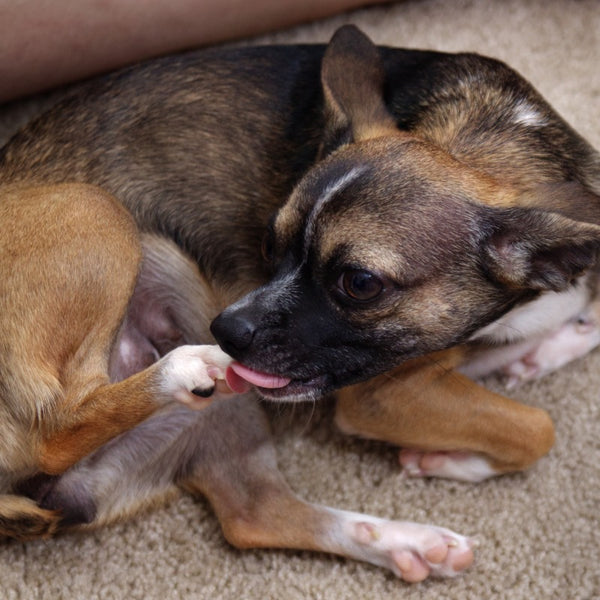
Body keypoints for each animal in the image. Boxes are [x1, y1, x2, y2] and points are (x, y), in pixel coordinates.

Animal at [0, 25, 596, 584]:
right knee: (57, 428)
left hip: (222, 402)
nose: (227, 330)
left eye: (360, 283)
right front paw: (454, 458)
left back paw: (407, 543)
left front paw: (547, 348)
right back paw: (183, 367)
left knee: (255, 513)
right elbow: (535, 428)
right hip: (98, 211)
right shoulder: (381, 395)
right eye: (270, 244)